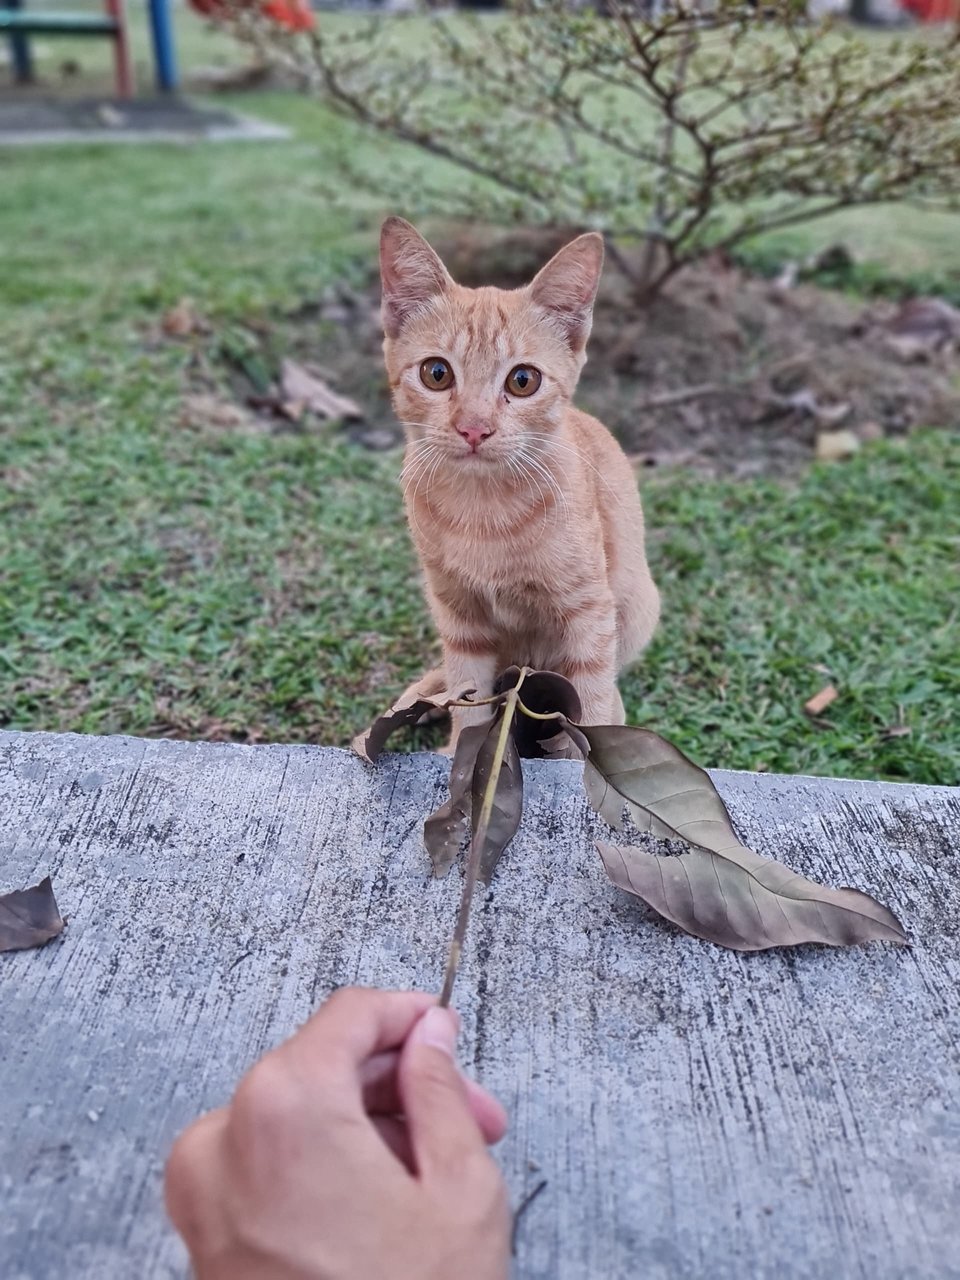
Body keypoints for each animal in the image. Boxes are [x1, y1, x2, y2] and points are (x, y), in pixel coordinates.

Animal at [378, 215, 660, 747]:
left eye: (522, 381)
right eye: (436, 373)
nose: (474, 428)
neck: (483, 508)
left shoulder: (590, 613)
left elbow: (592, 701)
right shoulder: (458, 613)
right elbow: (467, 693)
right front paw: (457, 754)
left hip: (636, 608)